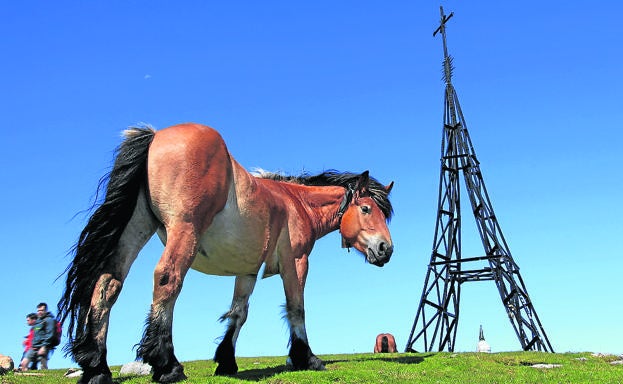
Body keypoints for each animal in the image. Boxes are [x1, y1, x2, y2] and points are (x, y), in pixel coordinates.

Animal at [56, 124, 392, 384]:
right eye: (366, 209)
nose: (386, 249)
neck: (295, 203)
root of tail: (156, 136)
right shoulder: (296, 263)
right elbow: (296, 308)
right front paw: (306, 358)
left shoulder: (247, 271)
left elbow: (238, 313)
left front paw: (227, 361)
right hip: (184, 232)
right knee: (167, 280)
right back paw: (167, 364)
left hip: (135, 228)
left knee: (107, 286)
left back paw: (97, 367)